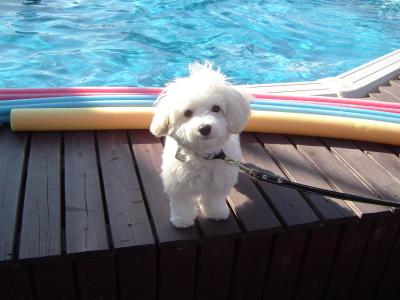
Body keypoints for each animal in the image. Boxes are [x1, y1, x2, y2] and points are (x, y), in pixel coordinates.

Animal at [149, 62, 250, 229]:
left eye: (216, 108)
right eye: (187, 113)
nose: (204, 128)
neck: (203, 155)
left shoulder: (218, 183)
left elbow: (214, 199)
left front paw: (216, 213)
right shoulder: (178, 183)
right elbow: (182, 203)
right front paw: (182, 220)